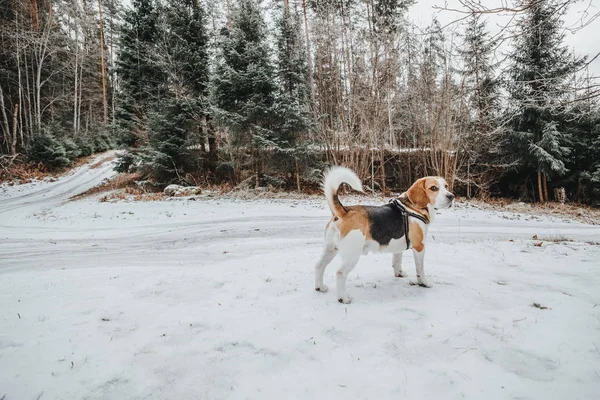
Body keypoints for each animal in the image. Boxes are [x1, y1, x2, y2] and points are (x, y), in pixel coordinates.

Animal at [316, 166, 452, 304]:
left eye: (446, 186)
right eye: (433, 188)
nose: (451, 196)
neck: (413, 207)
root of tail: (345, 212)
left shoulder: (398, 246)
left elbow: (397, 261)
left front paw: (399, 274)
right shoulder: (419, 246)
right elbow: (420, 269)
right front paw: (423, 283)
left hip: (330, 248)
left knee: (319, 265)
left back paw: (320, 287)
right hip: (352, 255)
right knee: (340, 273)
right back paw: (343, 298)